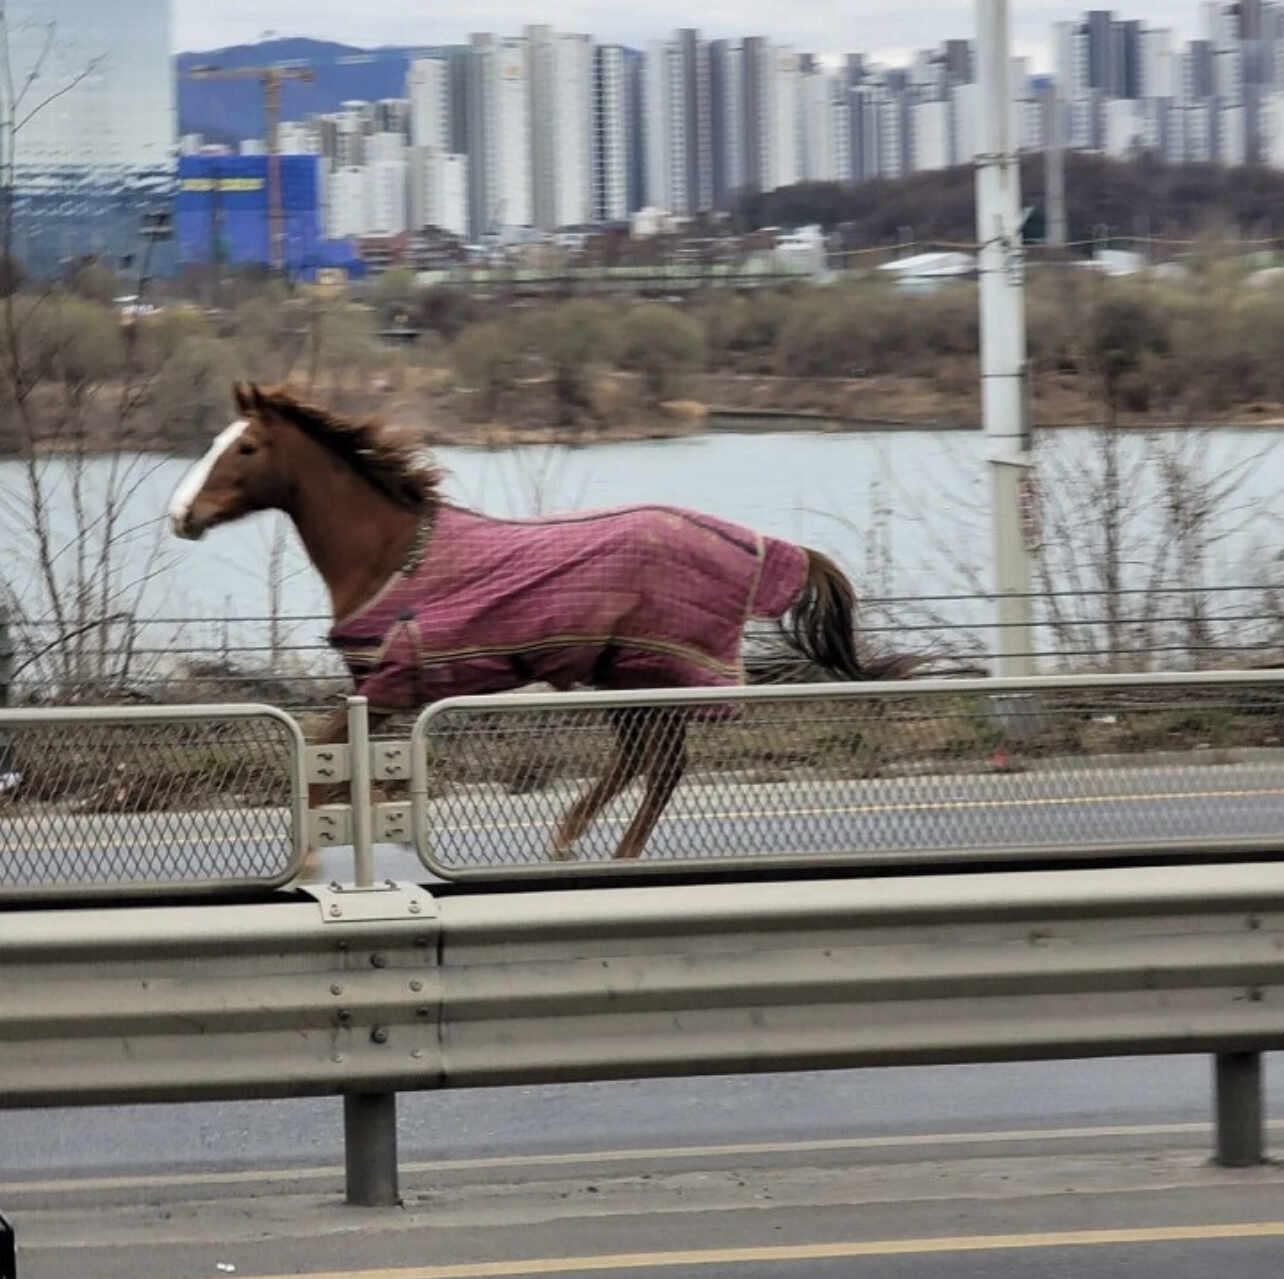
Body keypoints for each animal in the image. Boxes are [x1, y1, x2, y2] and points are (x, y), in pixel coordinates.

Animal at [170, 385, 914, 862]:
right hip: (620, 678)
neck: (392, 554)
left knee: (664, 764)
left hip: (646, 674)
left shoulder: (386, 688)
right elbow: (350, 772)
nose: (181, 515)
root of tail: (759, 543)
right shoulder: (375, 694)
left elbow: (323, 768)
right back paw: (579, 838)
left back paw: (600, 845)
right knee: (645, 760)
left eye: (246, 448)